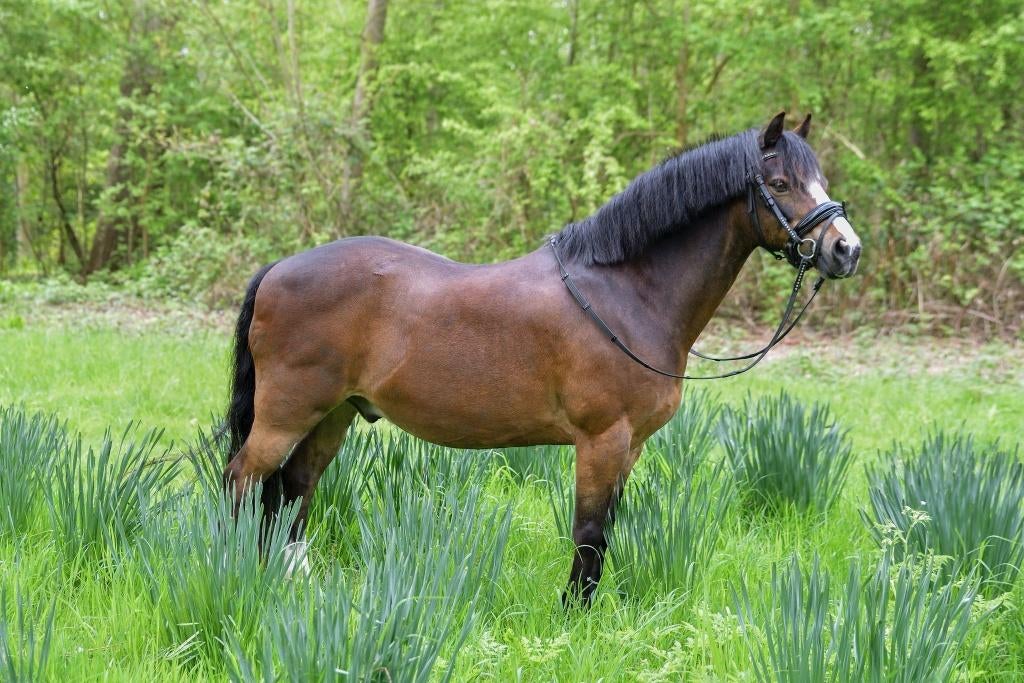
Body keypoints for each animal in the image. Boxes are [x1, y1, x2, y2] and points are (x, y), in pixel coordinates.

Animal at [222, 111, 862, 604]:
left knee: (292, 490)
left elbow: (606, 531)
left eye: (820, 178)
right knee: (243, 481)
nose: (846, 249)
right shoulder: (602, 440)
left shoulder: (630, 447)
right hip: (286, 415)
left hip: (335, 415)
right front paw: (574, 617)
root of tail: (278, 269)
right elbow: (589, 532)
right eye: (780, 181)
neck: (626, 292)